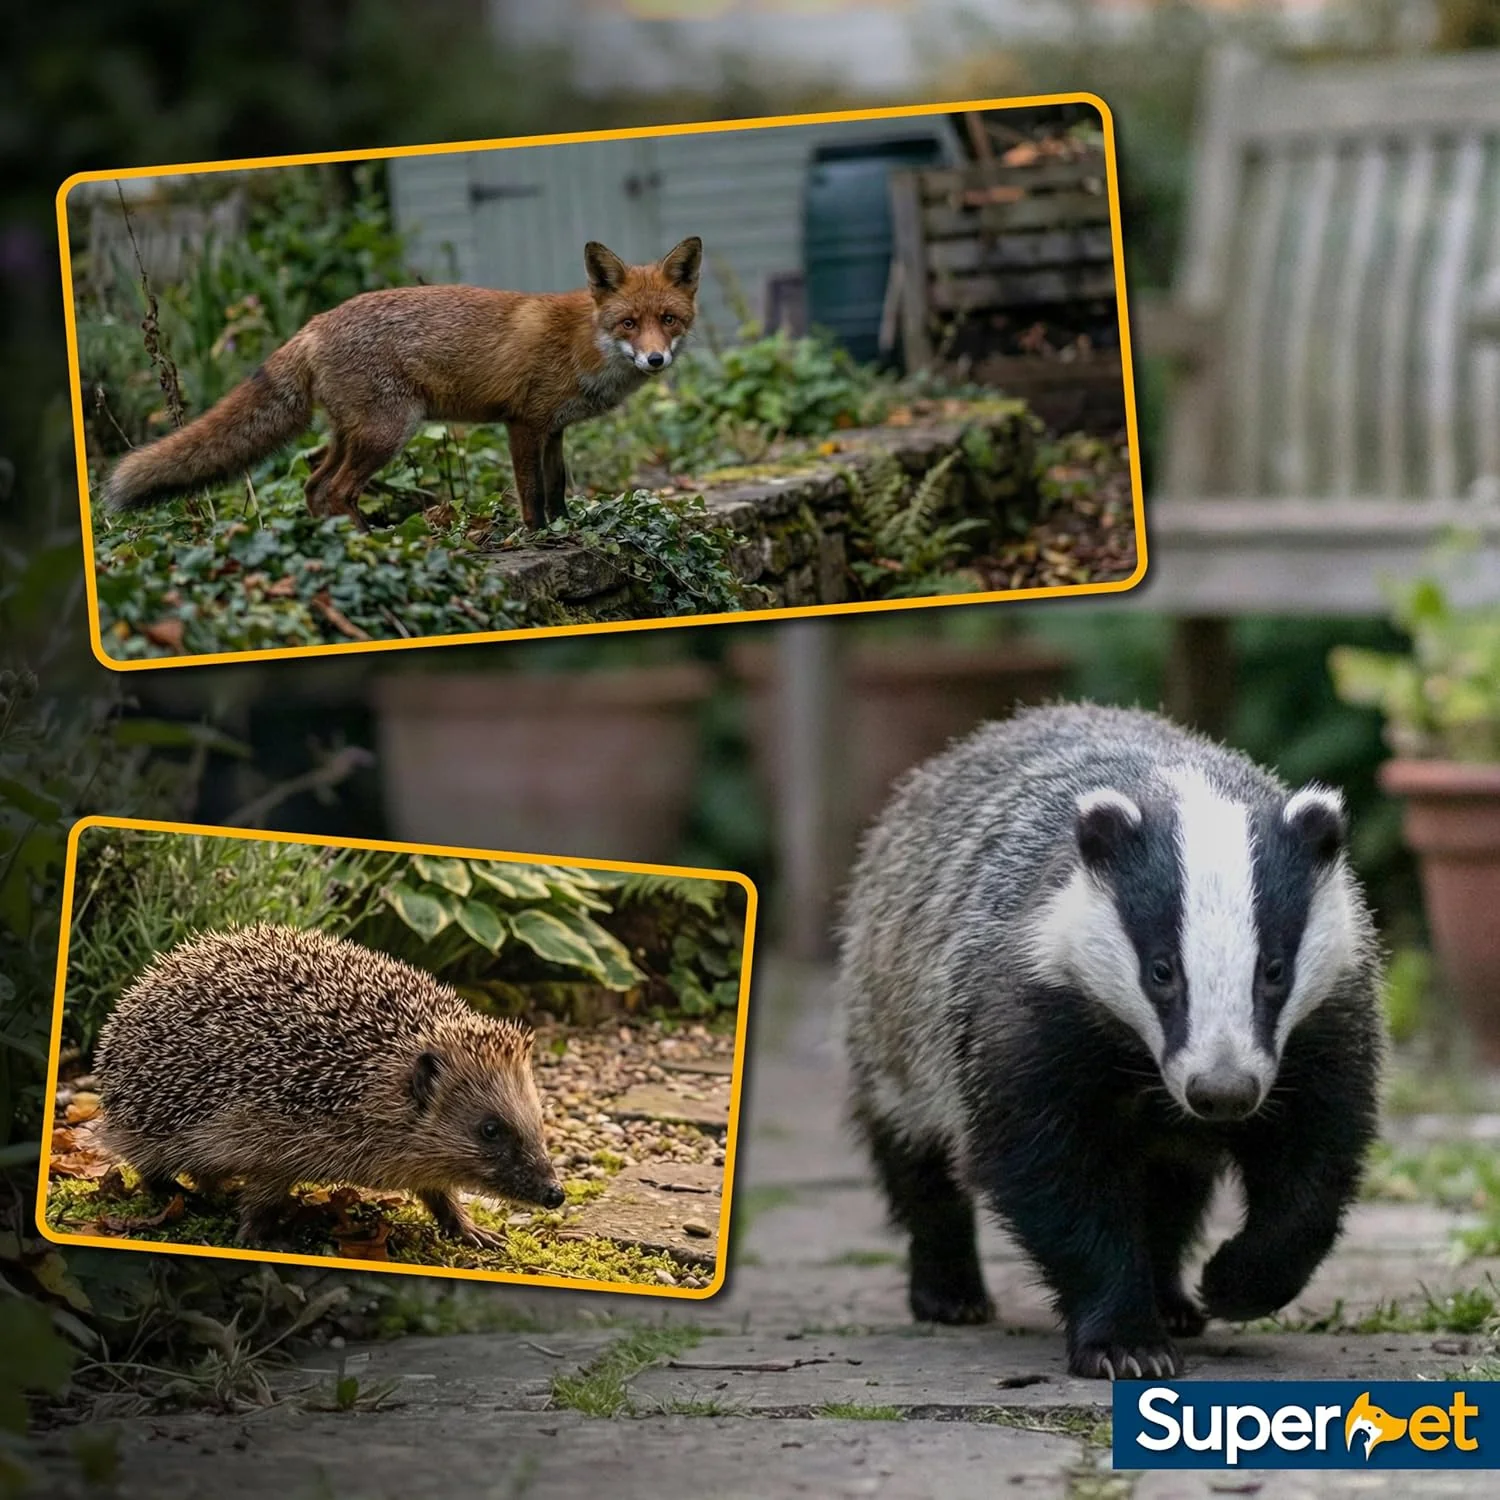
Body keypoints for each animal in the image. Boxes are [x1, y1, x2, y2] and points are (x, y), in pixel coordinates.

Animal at [102, 236, 703, 532]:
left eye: (668, 320)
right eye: (629, 323)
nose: (655, 359)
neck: (583, 341)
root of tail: (314, 323)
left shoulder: (554, 430)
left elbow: (557, 489)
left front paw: (566, 530)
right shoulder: (524, 424)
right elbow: (532, 493)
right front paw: (539, 537)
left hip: (352, 434)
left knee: (312, 485)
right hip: (389, 432)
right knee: (332, 490)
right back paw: (373, 541)